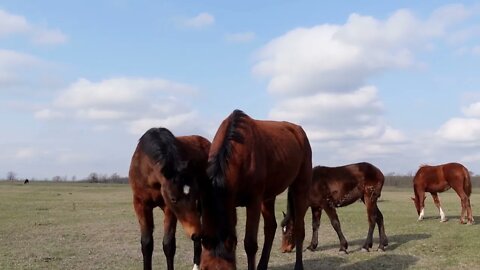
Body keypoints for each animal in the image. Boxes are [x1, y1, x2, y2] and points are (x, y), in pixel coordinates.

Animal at [129, 128, 210, 270]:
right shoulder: (141, 204)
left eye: (193, 194)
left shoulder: (168, 209)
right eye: (173, 198)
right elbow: (146, 244)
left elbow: (168, 245)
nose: (195, 233)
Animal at [199, 109, 312, 270]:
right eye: (203, 268)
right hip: (268, 197)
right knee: (271, 227)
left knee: (298, 228)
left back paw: (298, 265)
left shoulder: (254, 202)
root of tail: (298, 131)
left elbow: (250, 244)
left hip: (300, 188)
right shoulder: (231, 203)